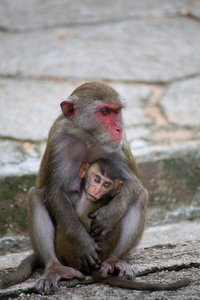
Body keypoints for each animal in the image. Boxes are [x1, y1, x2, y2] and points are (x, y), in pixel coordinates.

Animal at [0, 82, 190, 292]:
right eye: (105, 112)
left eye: (117, 112)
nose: (119, 128)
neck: (89, 138)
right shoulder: (58, 138)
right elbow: (54, 191)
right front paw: (82, 243)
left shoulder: (120, 145)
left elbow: (133, 183)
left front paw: (108, 216)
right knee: (35, 195)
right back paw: (55, 268)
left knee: (140, 195)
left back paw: (113, 261)